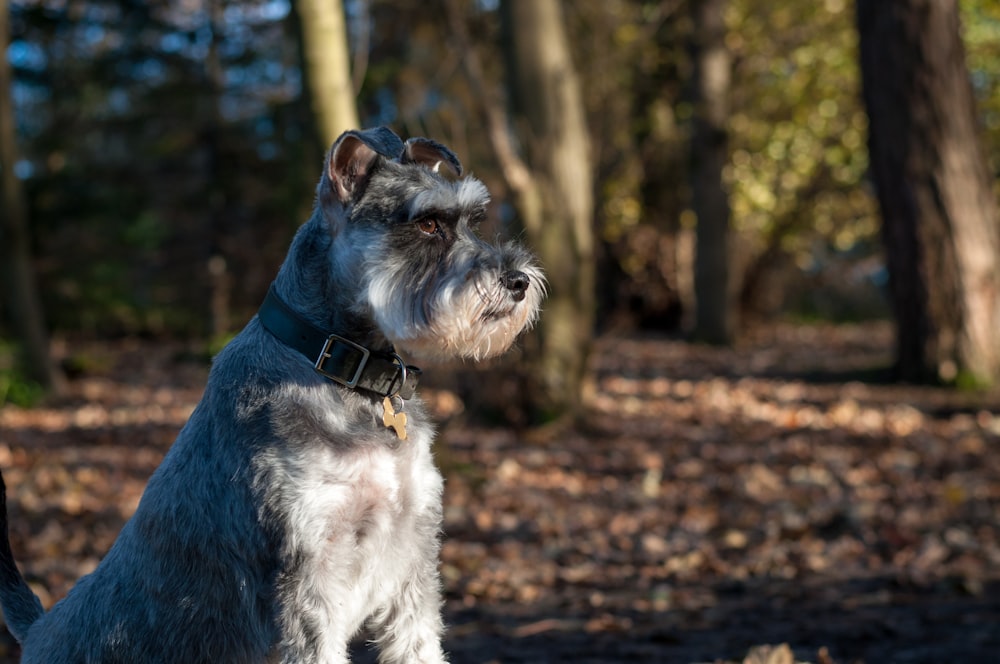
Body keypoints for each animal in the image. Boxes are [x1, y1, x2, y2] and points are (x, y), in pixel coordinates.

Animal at [0, 127, 548, 660]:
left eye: (473, 219)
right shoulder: (308, 584)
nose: (518, 280)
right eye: (429, 224)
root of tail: (39, 632)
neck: (340, 370)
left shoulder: (412, 564)